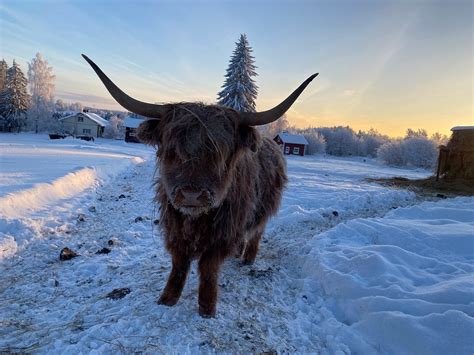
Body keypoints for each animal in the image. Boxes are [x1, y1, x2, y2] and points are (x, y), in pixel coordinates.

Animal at [82, 54, 318, 318]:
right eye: (171, 150)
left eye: (221, 153)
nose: (191, 195)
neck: (195, 220)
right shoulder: (174, 227)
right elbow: (179, 263)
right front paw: (167, 299)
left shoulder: (223, 233)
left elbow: (208, 267)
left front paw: (207, 308)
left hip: (263, 210)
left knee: (256, 231)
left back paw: (247, 258)